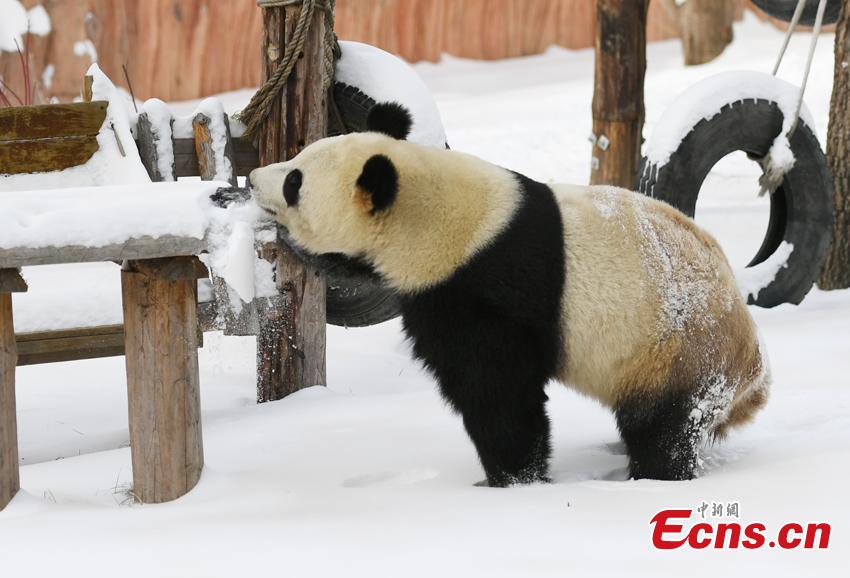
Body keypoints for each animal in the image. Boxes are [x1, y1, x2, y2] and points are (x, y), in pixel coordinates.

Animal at [247, 103, 768, 486]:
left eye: (294, 182)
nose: (252, 179)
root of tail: (753, 371)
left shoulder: (479, 284)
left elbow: (496, 389)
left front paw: (512, 479)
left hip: (676, 350)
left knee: (664, 426)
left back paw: (653, 477)